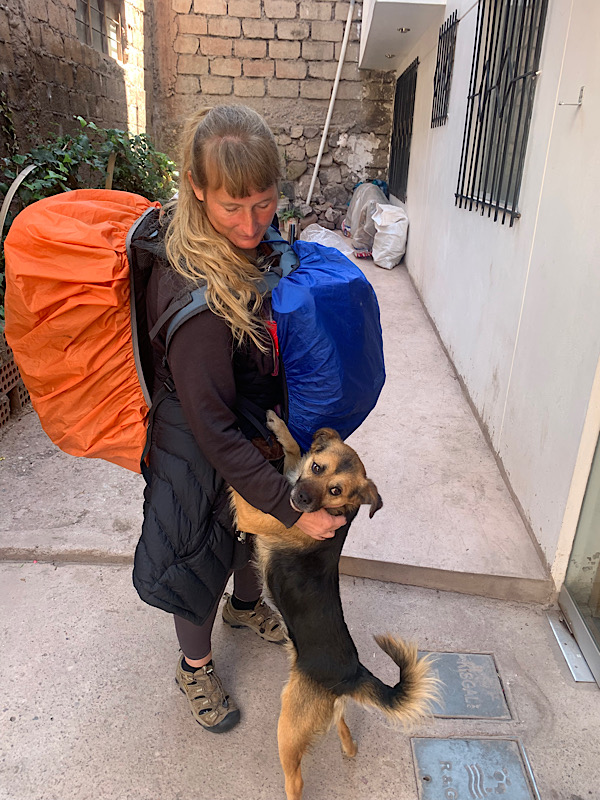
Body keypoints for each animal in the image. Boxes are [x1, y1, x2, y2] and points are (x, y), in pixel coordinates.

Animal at [231, 411, 439, 800]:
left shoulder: (258, 513)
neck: (339, 513)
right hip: (327, 712)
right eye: (317, 467)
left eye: (335, 490)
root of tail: (352, 674)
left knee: (295, 779)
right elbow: (292, 450)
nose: (299, 498)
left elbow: (242, 489)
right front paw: (278, 427)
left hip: (289, 723)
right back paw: (349, 748)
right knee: (343, 728)